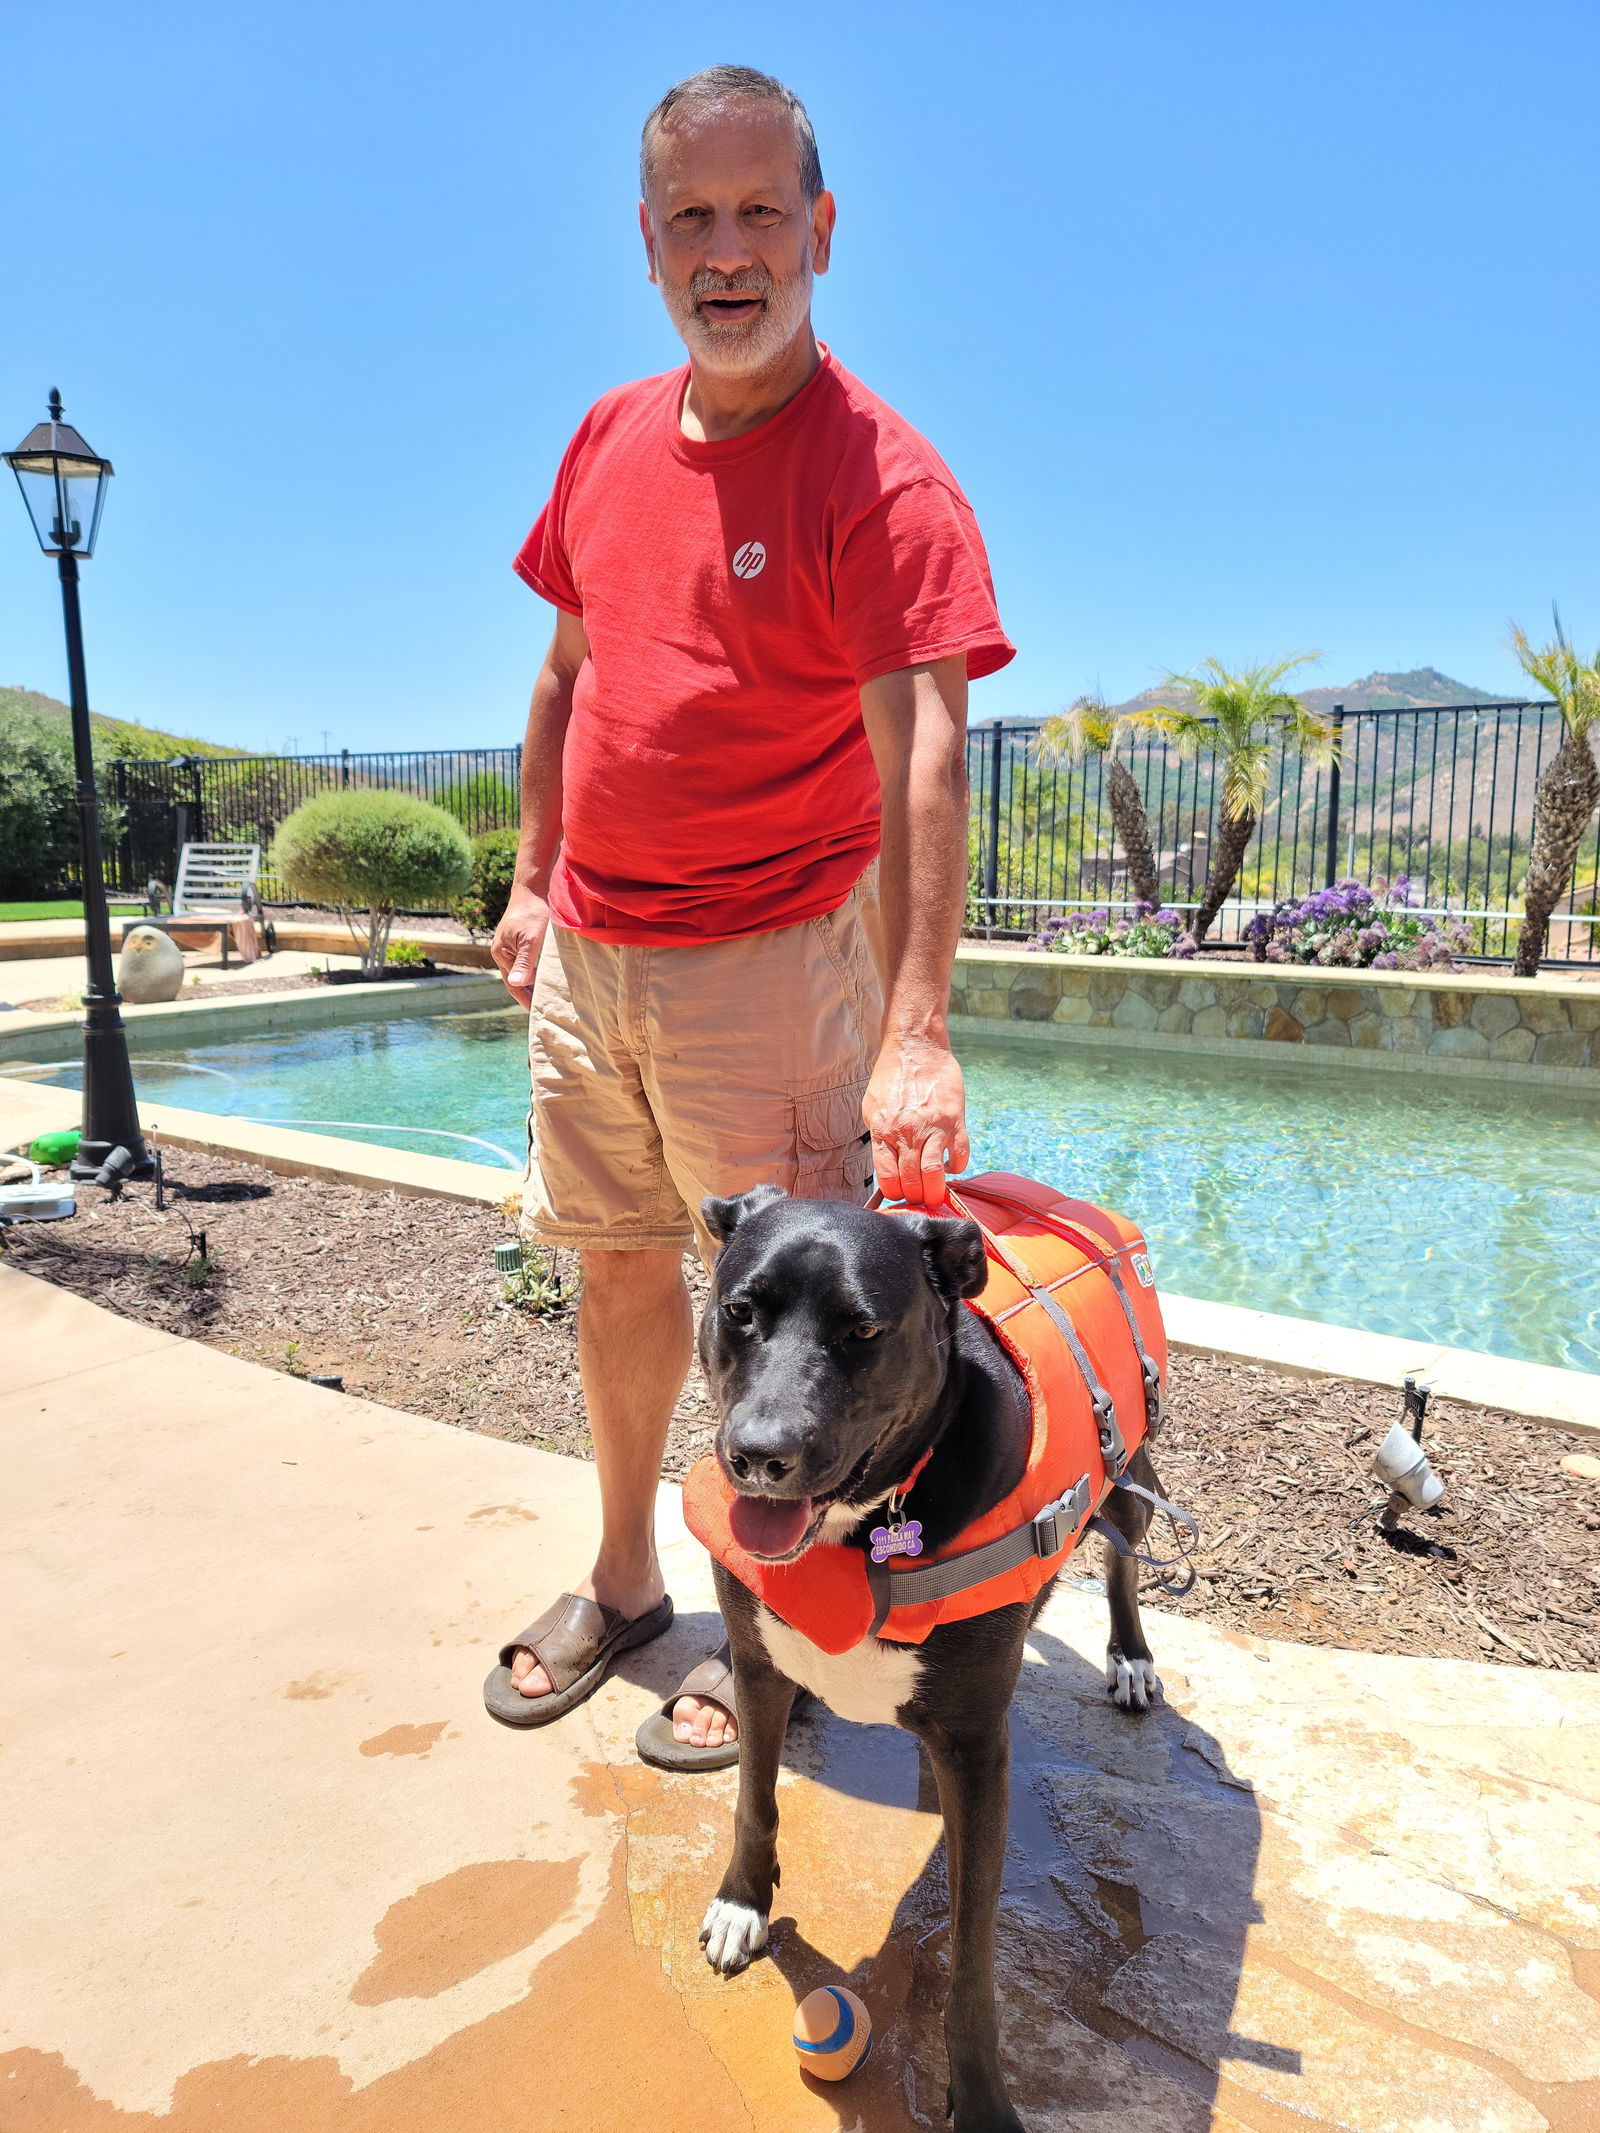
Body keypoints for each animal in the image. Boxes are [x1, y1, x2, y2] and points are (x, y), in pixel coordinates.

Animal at [691, 1185, 1169, 2133]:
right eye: (739, 1312)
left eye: (864, 1330)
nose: (758, 1454)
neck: (867, 1526)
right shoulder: (759, 1668)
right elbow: (754, 1800)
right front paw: (742, 1901)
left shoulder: (980, 1744)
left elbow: (974, 1960)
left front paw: (980, 2096)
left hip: (1131, 1468)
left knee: (1125, 1555)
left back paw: (1129, 1655)